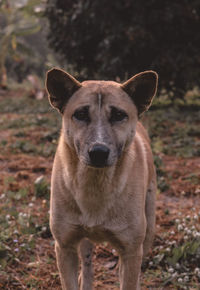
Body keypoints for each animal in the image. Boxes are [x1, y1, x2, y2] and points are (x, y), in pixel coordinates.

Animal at [45, 67, 158, 288]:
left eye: (119, 115)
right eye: (80, 114)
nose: (98, 152)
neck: (95, 183)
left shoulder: (131, 250)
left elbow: (128, 278)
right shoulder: (65, 246)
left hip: (148, 228)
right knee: (88, 264)